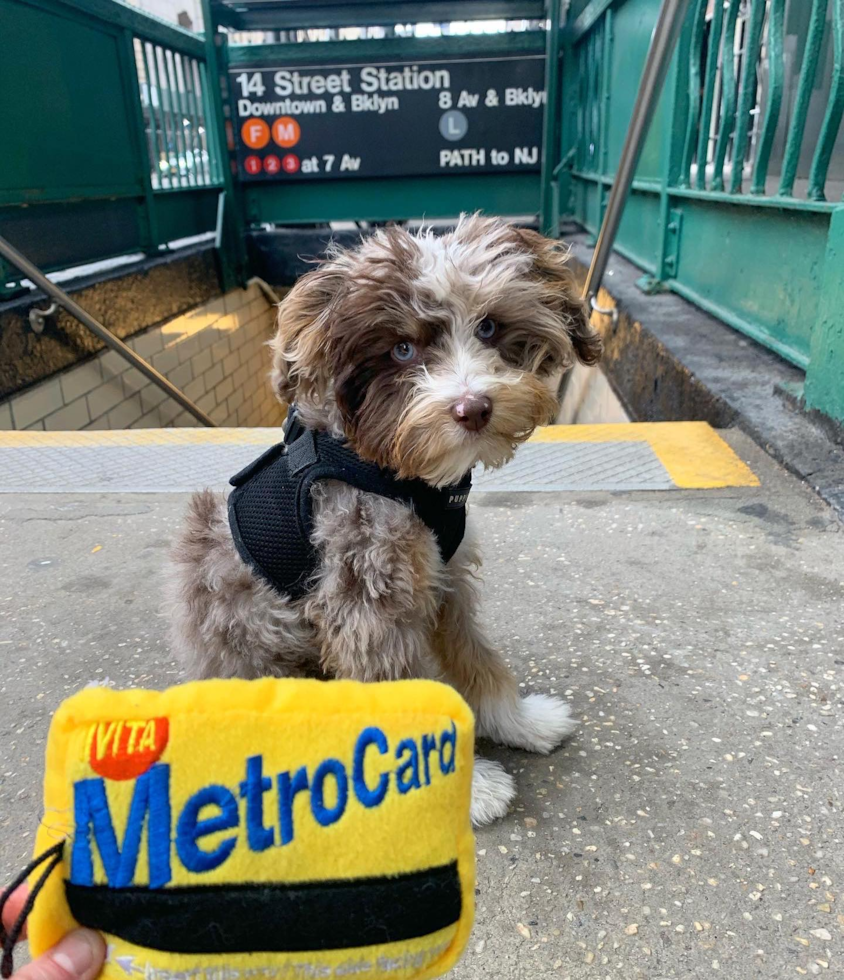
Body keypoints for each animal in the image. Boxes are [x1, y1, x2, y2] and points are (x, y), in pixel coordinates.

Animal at [166, 216, 600, 828]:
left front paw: (520, 723)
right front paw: (464, 790)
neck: (393, 472)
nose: (473, 408)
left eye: (489, 327)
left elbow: (480, 660)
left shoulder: (446, 582)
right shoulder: (366, 603)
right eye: (401, 348)